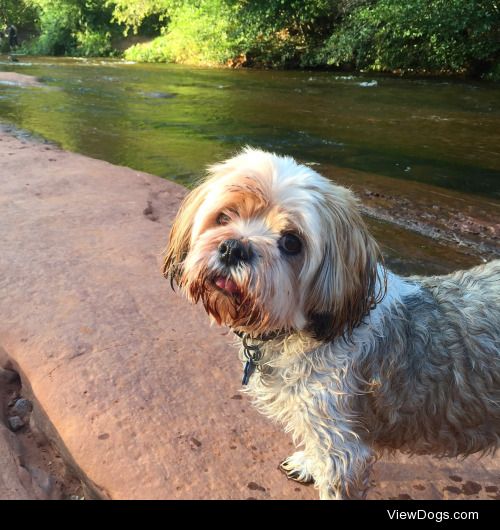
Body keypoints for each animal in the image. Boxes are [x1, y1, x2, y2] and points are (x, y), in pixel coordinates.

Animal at [162, 146, 498, 498]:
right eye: (224, 217)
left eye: (291, 242)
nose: (233, 248)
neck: (302, 329)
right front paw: (308, 463)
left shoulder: (342, 444)